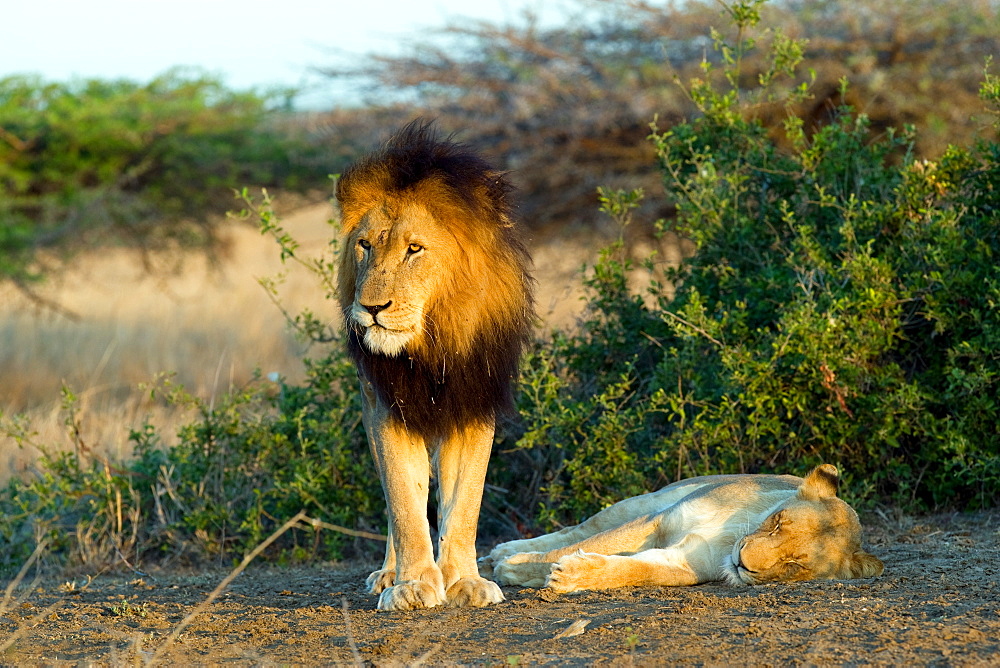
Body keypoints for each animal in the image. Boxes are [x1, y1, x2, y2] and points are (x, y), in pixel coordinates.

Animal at [336, 120, 536, 612]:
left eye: (414, 249)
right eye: (364, 246)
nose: (371, 308)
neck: (435, 340)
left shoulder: (475, 403)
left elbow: (464, 505)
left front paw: (464, 580)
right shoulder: (387, 408)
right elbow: (405, 505)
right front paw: (412, 585)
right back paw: (390, 573)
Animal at [482, 464, 884, 588]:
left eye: (794, 565)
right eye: (776, 523)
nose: (742, 562)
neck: (731, 536)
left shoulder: (689, 562)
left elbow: (637, 569)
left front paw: (573, 576)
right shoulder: (657, 521)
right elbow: (577, 544)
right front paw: (513, 568)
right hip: (642, 502)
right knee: (577, 531)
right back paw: (498, 556)